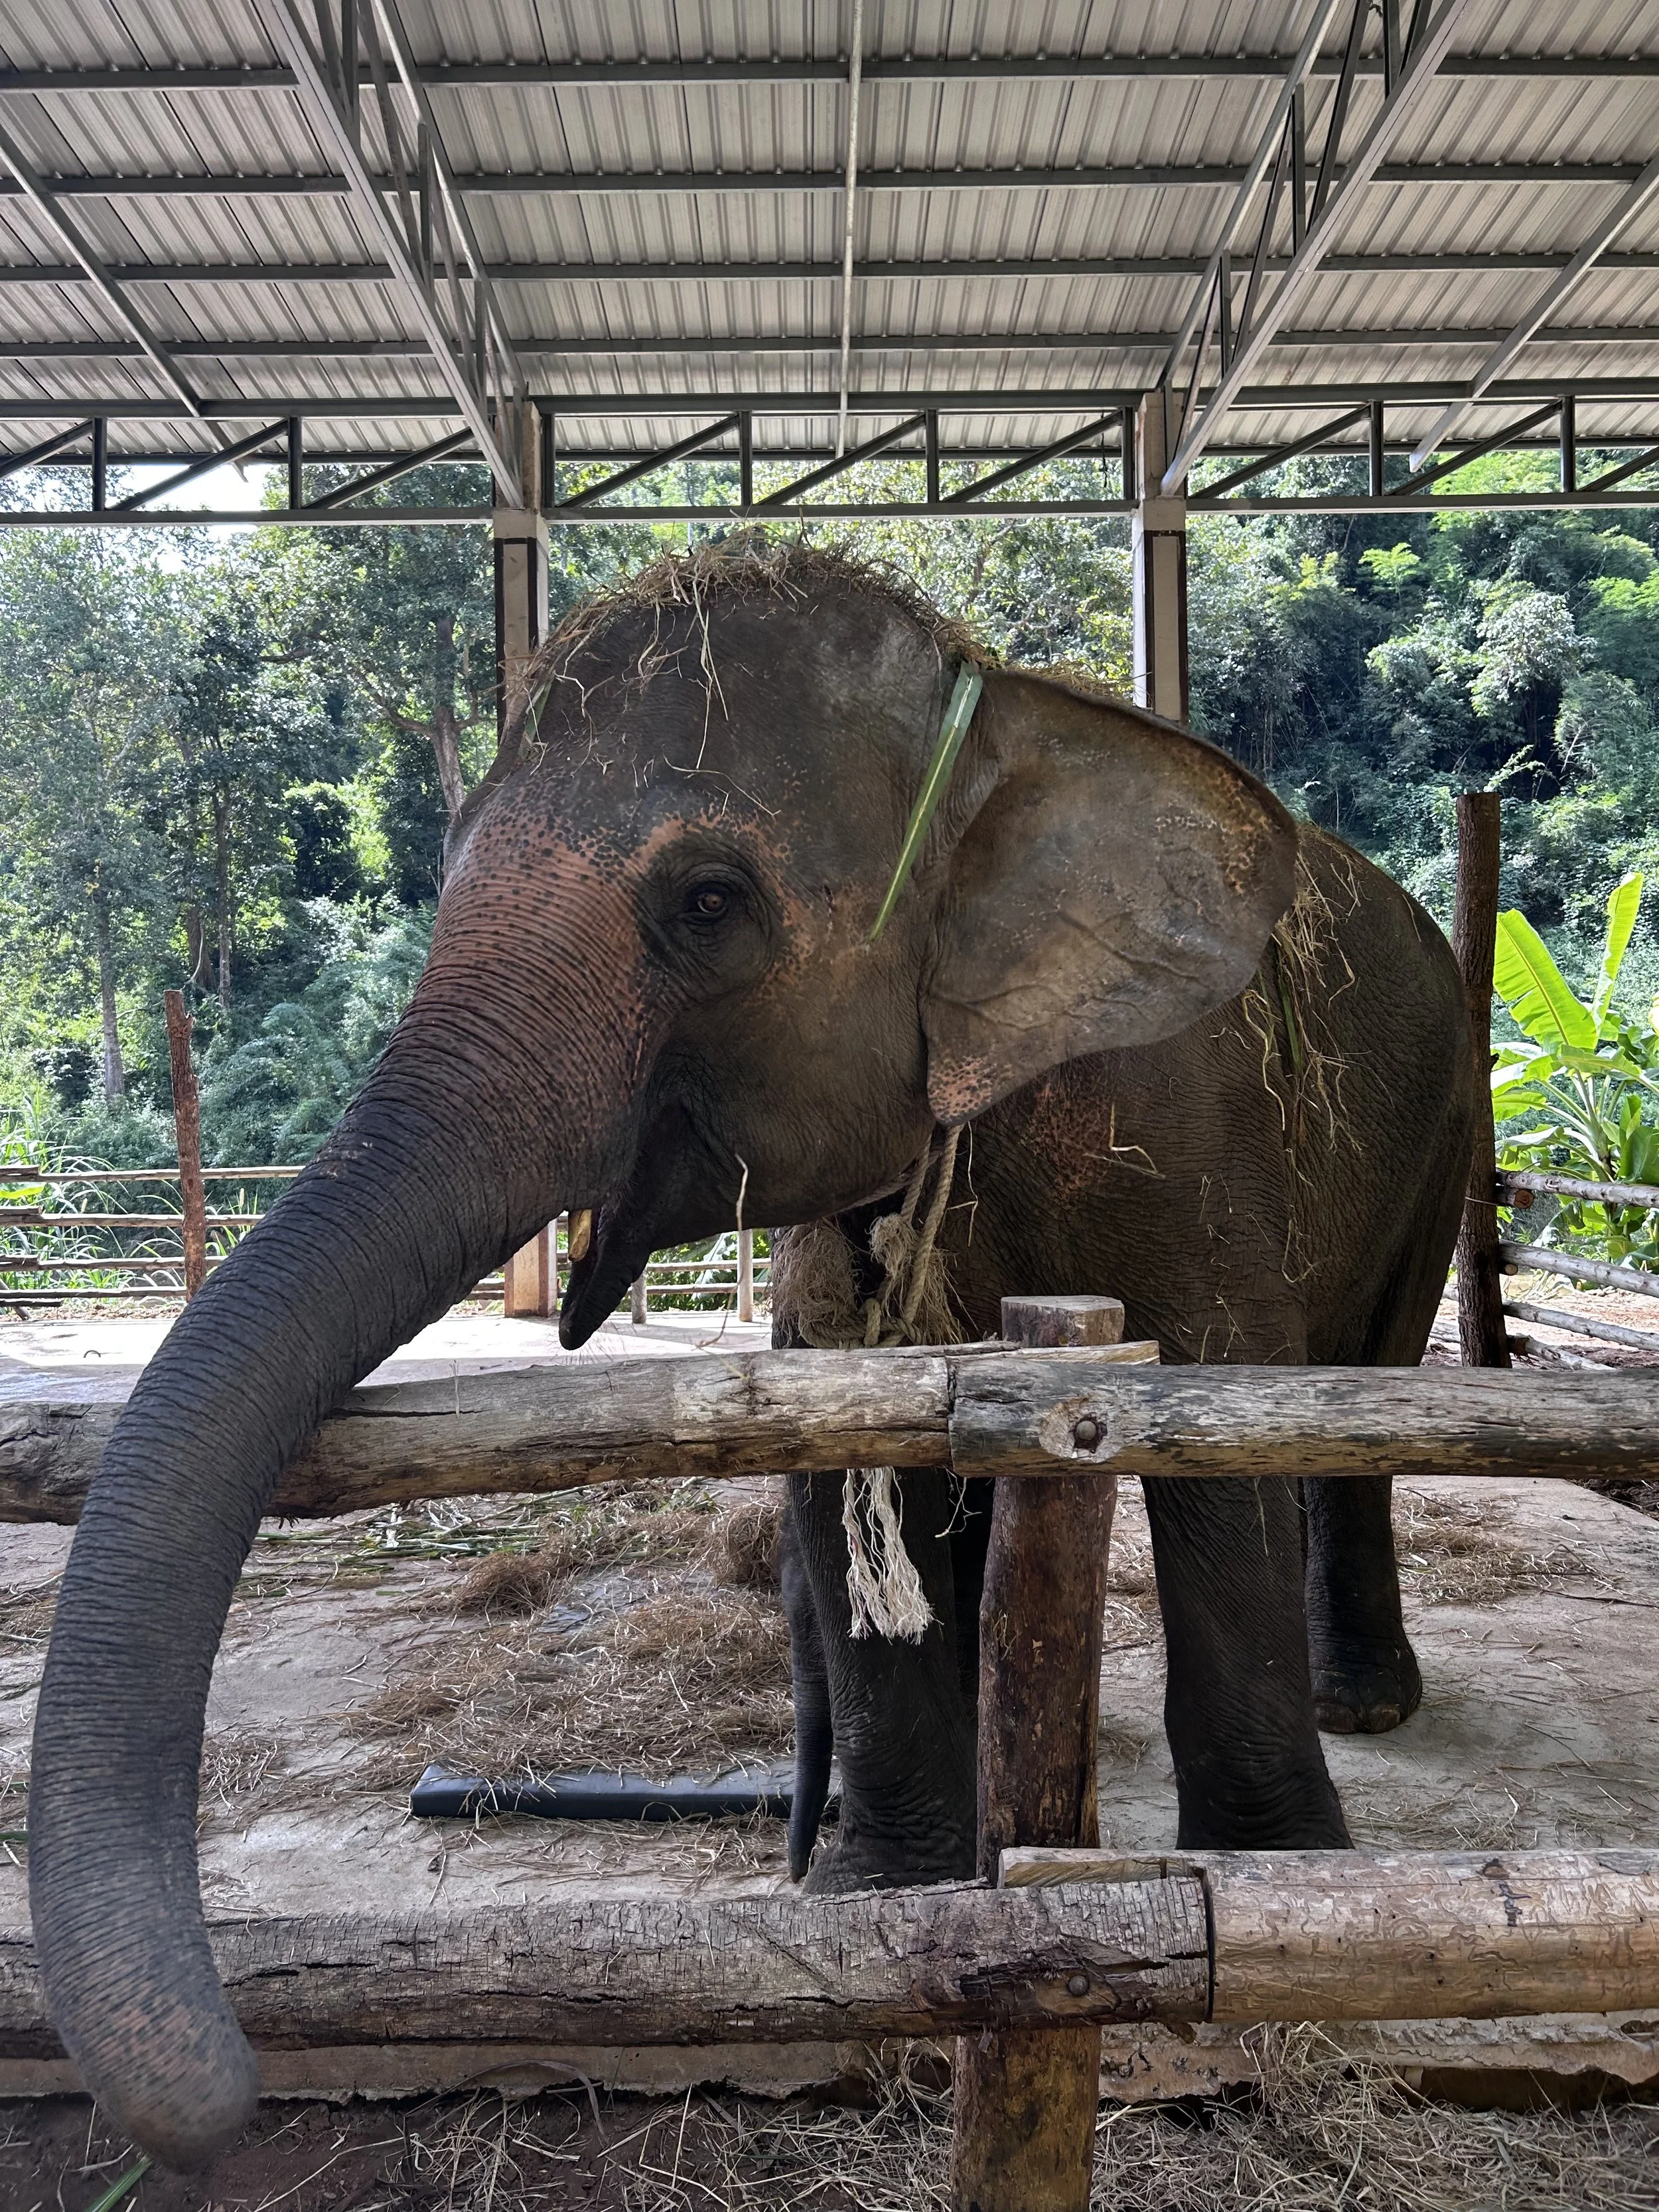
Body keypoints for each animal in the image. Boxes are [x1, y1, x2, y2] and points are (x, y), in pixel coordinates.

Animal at [28, 543, 1474, 2170]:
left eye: (707, 902)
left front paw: (1282, 1900)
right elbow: (857, 1458)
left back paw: (1364, 1705)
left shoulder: (1189, 1126)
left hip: (1445, 1124)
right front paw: (885, 1905)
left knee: (1368, 1396)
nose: (225, 2101)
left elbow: (1218, 1431)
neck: (995, 720)